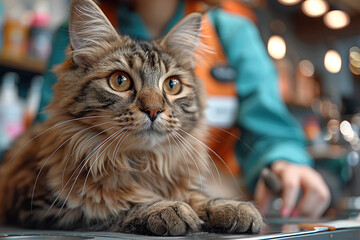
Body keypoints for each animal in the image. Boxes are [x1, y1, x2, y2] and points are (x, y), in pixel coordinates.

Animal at [0, 0, 262, 236]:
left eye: (172, 85)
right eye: (120, 81)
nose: (154, 110)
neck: (142, 162)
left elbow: (197, 196)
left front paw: (227, 206)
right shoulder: (40, 203)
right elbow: (109, 206)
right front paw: (163, 208)